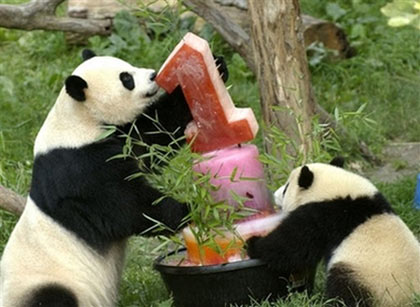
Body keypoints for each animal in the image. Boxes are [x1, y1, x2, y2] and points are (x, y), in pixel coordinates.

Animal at [0, 49, 228, 306]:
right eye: (126, 78)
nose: (153, 75)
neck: (79, 119)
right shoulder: (79, 167)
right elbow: (126, 206)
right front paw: (191, 209)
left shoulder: (121, 137)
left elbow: (155, 134)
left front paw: (216, 66)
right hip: (44, 281)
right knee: (52, 298)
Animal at [246, 159, 420, 307]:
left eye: (287, 187)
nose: (275, 194)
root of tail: (409, 300)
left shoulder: (323, 215)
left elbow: (291, 245)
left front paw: (253, 244)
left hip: (370, 278)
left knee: (346, 290)